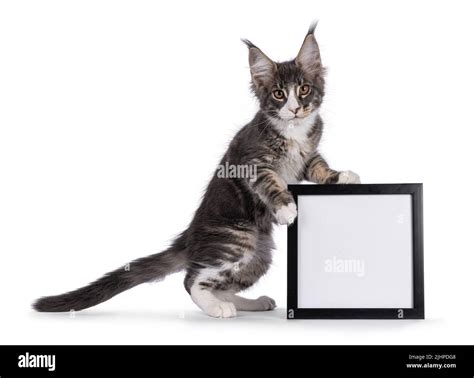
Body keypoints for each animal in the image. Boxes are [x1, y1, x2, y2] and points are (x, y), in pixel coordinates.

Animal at [33, 23, 360, 318]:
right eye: (279, 94)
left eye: (304, 89)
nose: (294, 109)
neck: (293, 132)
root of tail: (189, 238)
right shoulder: (252, 162)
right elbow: (272, 182)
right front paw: (286, 209)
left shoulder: (307, 156)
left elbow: (319, 167)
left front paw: (342, 176)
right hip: (237, 240)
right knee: (192, 280)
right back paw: (217, 308)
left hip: (259, 255)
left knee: (221, 284)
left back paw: (250, 303)